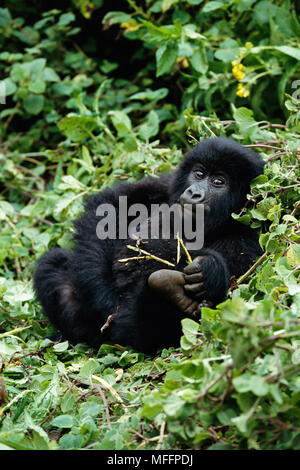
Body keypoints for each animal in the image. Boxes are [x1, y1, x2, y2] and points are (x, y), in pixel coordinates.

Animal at [33, 138, 264, 354]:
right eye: (199, 174)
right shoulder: (165, 184)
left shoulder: (245, 238)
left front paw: (209, 270)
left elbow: (228, 296)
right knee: (52, 263)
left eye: (218, 182)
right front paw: (104, 299)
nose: (195, 193)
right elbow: (107, 208)